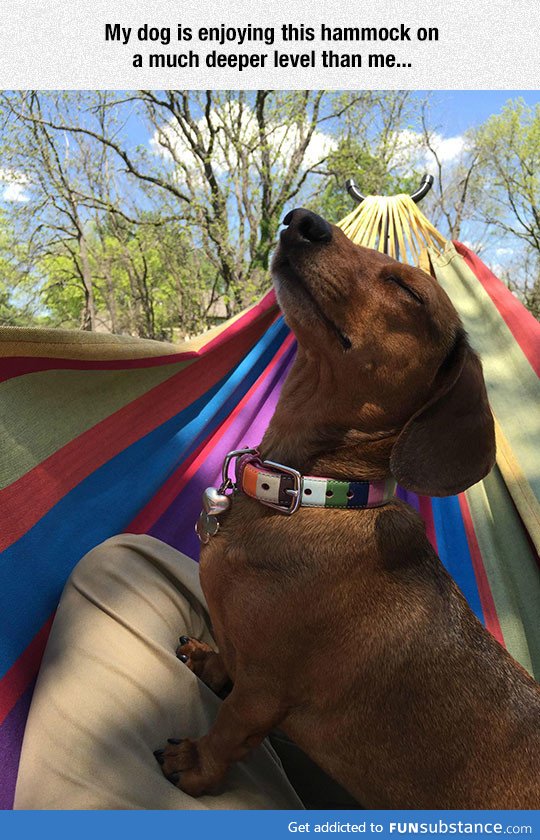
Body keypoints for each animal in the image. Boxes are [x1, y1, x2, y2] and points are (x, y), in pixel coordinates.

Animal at [156, 208, 540, 808]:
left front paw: (196, 764)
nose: (302, 220)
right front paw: (209, 660)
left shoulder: (264, 691)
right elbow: (226, 659)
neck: (311, 493)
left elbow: (230, 726)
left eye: (409, 289)